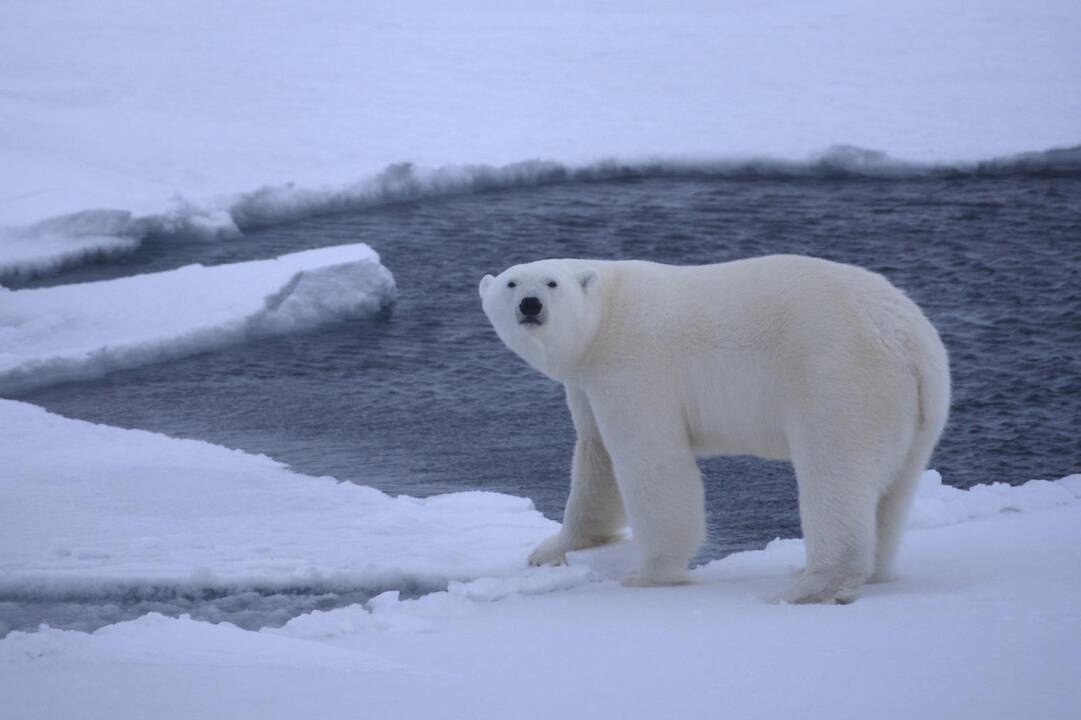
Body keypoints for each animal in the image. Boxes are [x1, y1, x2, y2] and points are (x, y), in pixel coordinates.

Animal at [477, 255, 951, 601]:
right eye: (511, 284)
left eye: (551, 284)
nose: (531, 305)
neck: (606, 316)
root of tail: (907, 337)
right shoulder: (586, 382)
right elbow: (597, 457)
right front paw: (552, 550)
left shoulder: (634, 364)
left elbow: (650, 459)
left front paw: (648, 574)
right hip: (917, 409)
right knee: (894, 491)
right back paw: (869, 572)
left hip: (839, 375)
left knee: (836, 472)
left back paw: (811, 583)